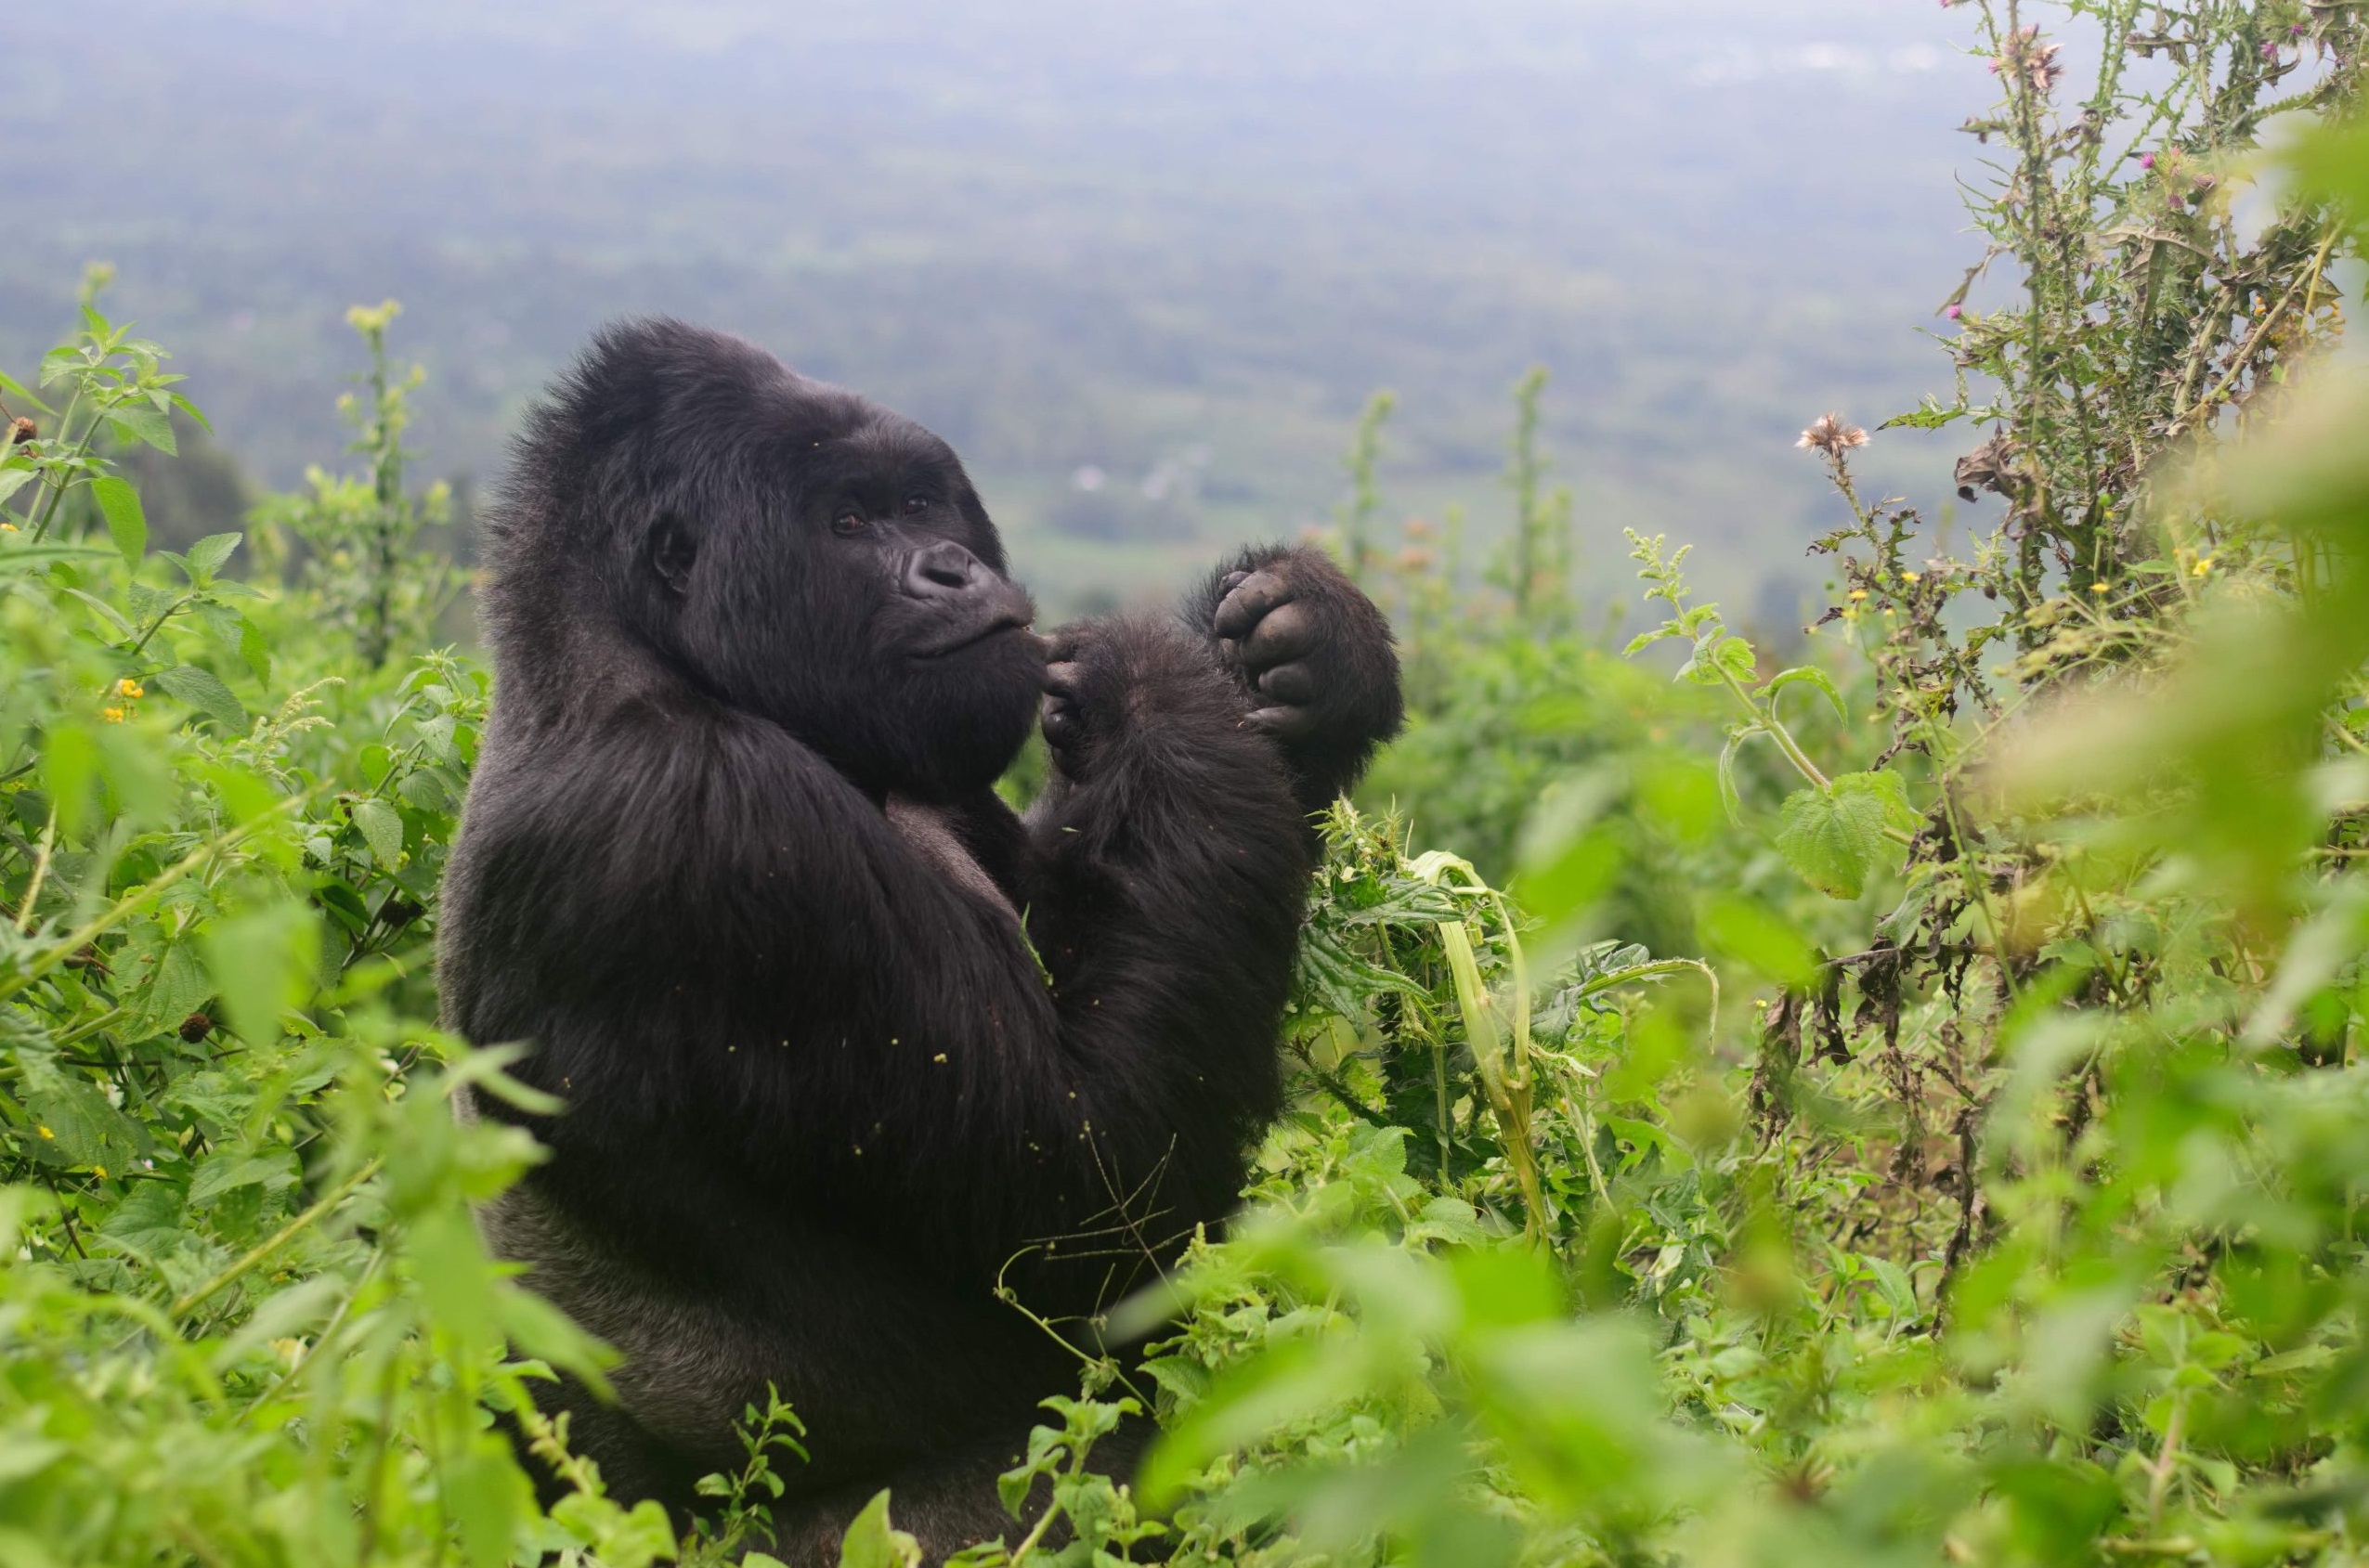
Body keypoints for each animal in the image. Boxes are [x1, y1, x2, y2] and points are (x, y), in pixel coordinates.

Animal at [440, 319, 1402, 1562]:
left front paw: (1306, 650)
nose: (952, 569)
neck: (624, 649)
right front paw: (1156, 683)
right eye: (849, 522)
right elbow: (1099, 1185)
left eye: (920, 504)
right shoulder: (707, 824)